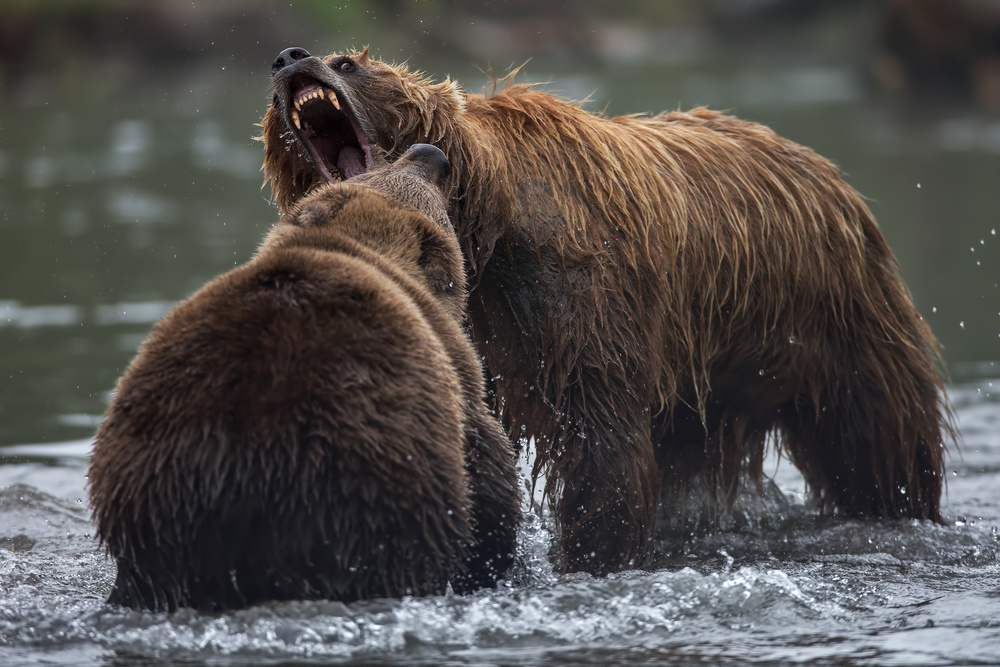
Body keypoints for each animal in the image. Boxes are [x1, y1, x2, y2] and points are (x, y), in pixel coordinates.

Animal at [89, 145, 520, 612]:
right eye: (431, 192)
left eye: (389, 166)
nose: (430, 153)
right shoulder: (454, 370)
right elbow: (490, 471)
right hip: (366, 482)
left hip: (154, 495)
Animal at [258, 48, 952, 580]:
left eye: (348, 61)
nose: (290, 56)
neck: (485, 222)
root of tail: (830, 173)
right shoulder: (476, 323)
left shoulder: (577, 297)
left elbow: (601, 442)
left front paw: (586, 555)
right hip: (708, 380)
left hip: (831, 321)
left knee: (877, 442)